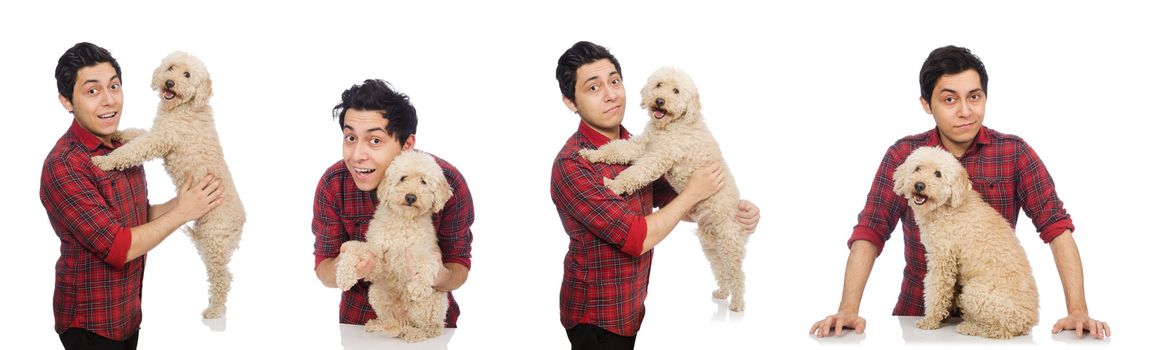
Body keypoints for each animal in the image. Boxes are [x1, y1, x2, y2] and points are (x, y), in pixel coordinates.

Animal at [94, 51, 246, 321]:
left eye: (187, 75)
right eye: (171, 68)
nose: (170, 83)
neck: (184, 107)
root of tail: (242, 221)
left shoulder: (161, 138)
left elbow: (133, 150)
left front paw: (105, 161)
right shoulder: (156, 131)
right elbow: (137, 133)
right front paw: (119, 133)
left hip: (214, 241)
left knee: (222, 278)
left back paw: (214, 310)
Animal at [334, 151, 450, 341]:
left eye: (424, 181)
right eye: (403, 178)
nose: (410, 197)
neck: (402, 221)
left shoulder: (423, 251)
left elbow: (427, 263)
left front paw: (419, 286)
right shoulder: (378, 259)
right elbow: (353, 248)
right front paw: (344, 275)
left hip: (430, 303)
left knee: (432, 328)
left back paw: (414, 333)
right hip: (376, 293)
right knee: (392, 320)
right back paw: (380, 325)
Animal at [577, 67, 748, 311]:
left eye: (676, 91)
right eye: (659, 85)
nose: (660, 101)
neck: (671, 126)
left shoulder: (658, 156)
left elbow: (636, 172)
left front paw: (615, 185)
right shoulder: (642, 144)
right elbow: (618, 148)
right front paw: (592, 154)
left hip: (728, 244)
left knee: (737, 274)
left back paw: (737, 304)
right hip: (711, 246)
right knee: (721, 270)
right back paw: (723, 292)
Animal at [887, 146, 1044, 339]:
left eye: (938, 174)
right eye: (917, 168)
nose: (919, 185)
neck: (947, 207)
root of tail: (1030, 319)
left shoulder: (942, 259)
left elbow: (936, 291)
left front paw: (930, 320)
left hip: (975, 294)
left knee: (1002, 330)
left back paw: (970, 327)